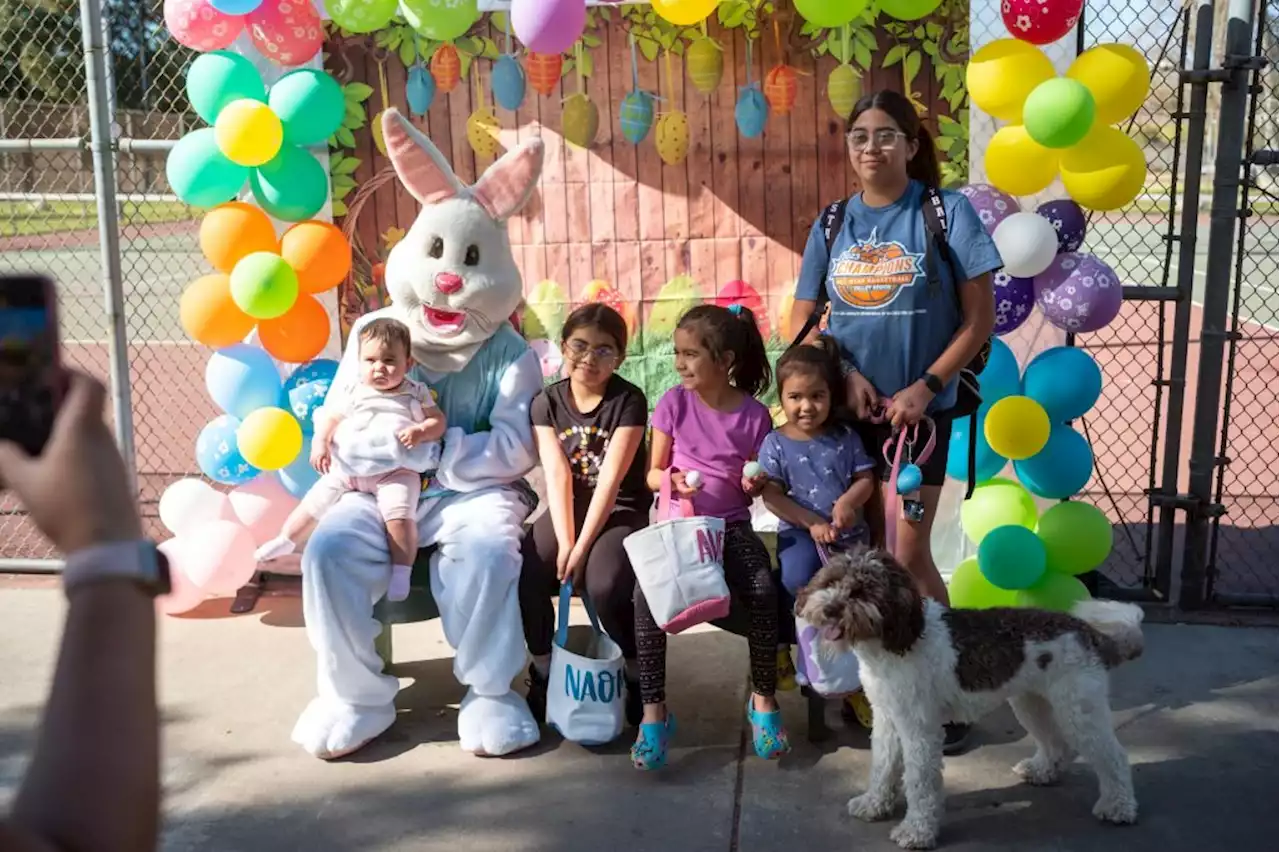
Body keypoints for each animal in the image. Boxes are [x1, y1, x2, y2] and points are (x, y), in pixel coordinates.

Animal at [793, 547, 1146, 844]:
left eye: (863, 590)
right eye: (831, 581)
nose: (830, 608)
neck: (894, 640)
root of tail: (1090, 633)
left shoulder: (920, 728)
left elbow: (920, 781)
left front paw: (917, 832)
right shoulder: (888, 719)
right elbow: (882, 766)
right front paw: (874, 804)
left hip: (1079, 710)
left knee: (1114, 756)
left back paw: (1118, 806)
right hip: (1032, 703)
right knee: (1056, 743)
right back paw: (1043, 771)